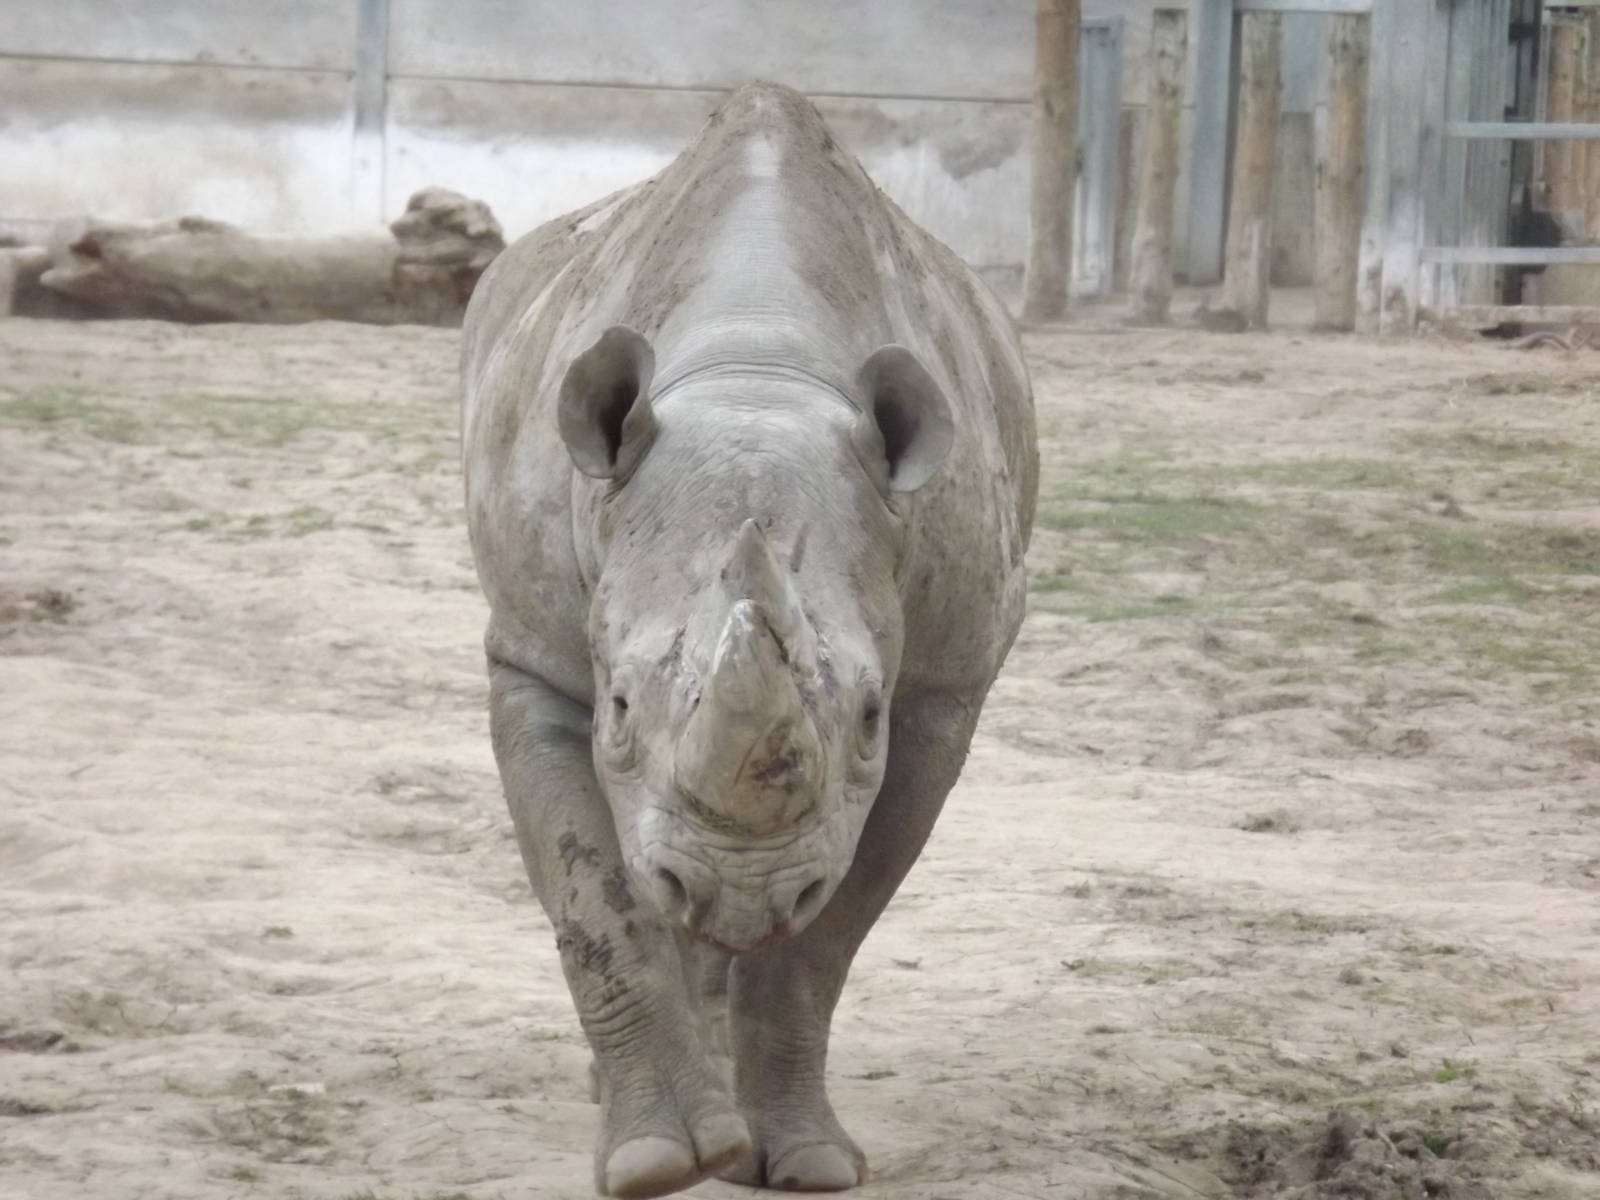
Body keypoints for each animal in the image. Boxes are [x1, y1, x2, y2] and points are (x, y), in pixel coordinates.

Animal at [460, 83, 1037, 1197]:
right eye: (618, 706)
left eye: (868, 716)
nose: (735, 887)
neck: (757, 373)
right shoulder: (533, 658)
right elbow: (595, 901)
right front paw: (652, 1162)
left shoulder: (943, 691)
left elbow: (824, 940)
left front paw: (804, 1162)